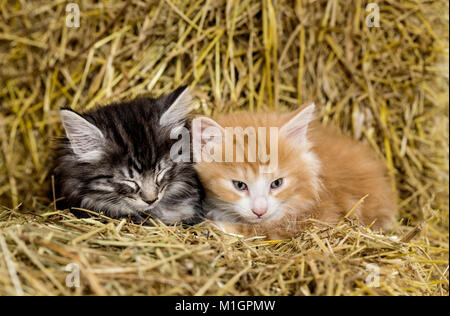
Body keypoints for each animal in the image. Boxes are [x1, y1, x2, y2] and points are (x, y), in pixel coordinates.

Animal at [192, 104, 396, 239]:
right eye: (239, 185)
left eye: (277, 183)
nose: (260, 211)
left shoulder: (320, 216)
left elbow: (262, 230)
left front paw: (217, 225)